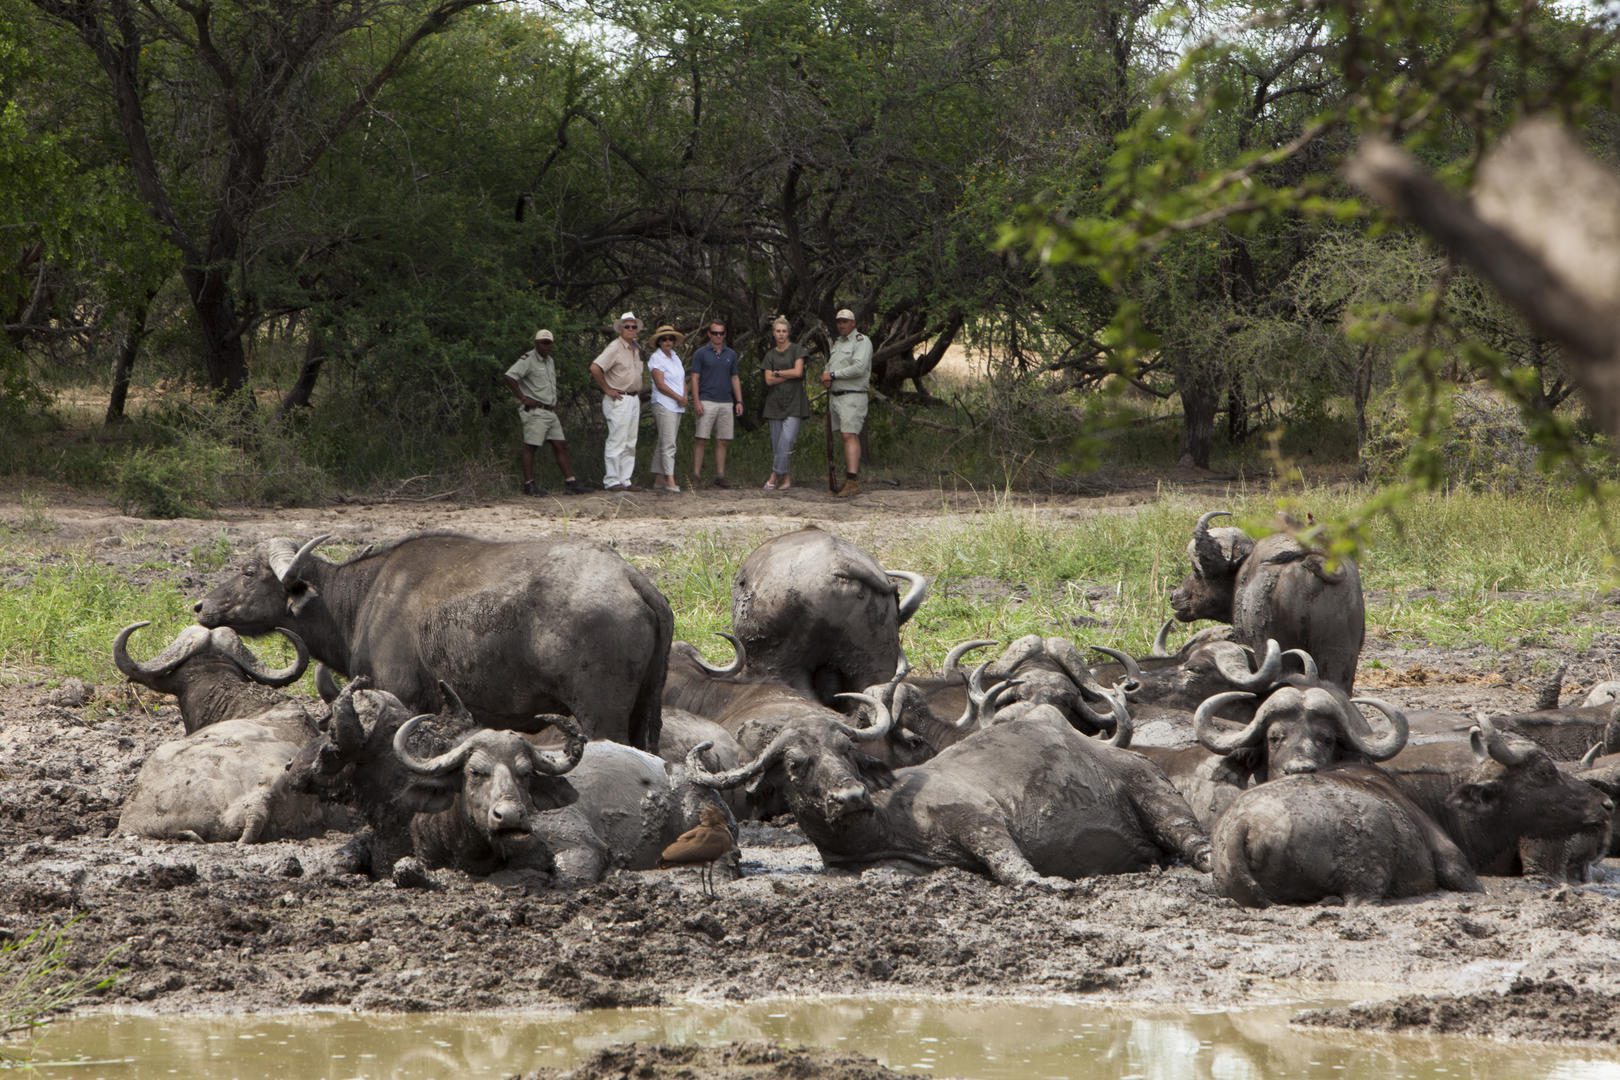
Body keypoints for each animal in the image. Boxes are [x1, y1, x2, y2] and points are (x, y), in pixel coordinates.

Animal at [194, 532, 673, 751]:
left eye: (248, 572)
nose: (201, 606)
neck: (363, 598)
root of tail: (631, 578)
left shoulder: (405, 698)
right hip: (647, 710)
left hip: (600, 715)